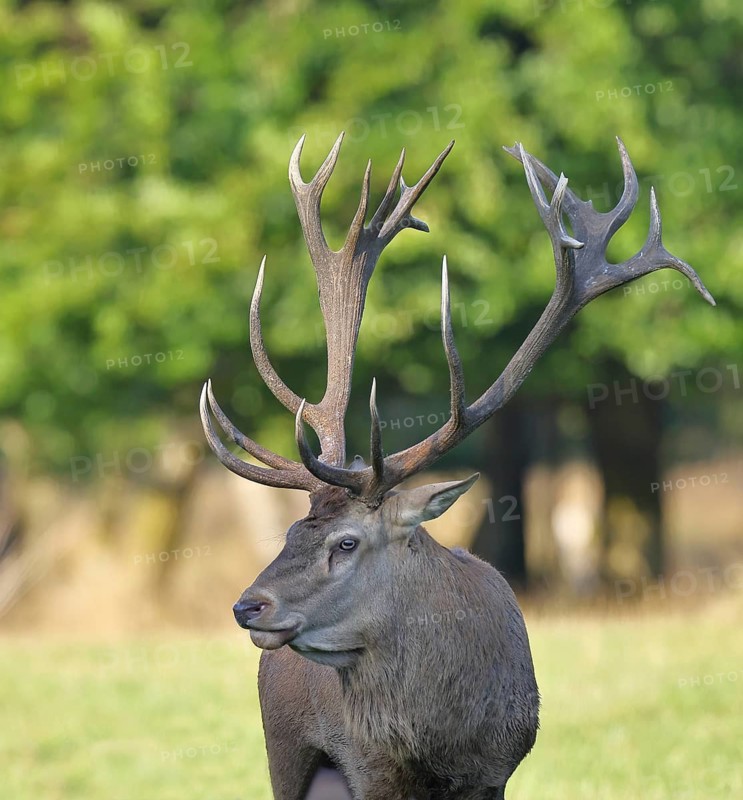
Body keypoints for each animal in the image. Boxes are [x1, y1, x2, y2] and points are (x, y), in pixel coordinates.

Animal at [199, 133, 714, 800]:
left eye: (346, 542)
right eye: (291, 531)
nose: (248, 606)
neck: (438, 746)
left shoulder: (499, 768)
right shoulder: (365, 768)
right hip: (284, 753)